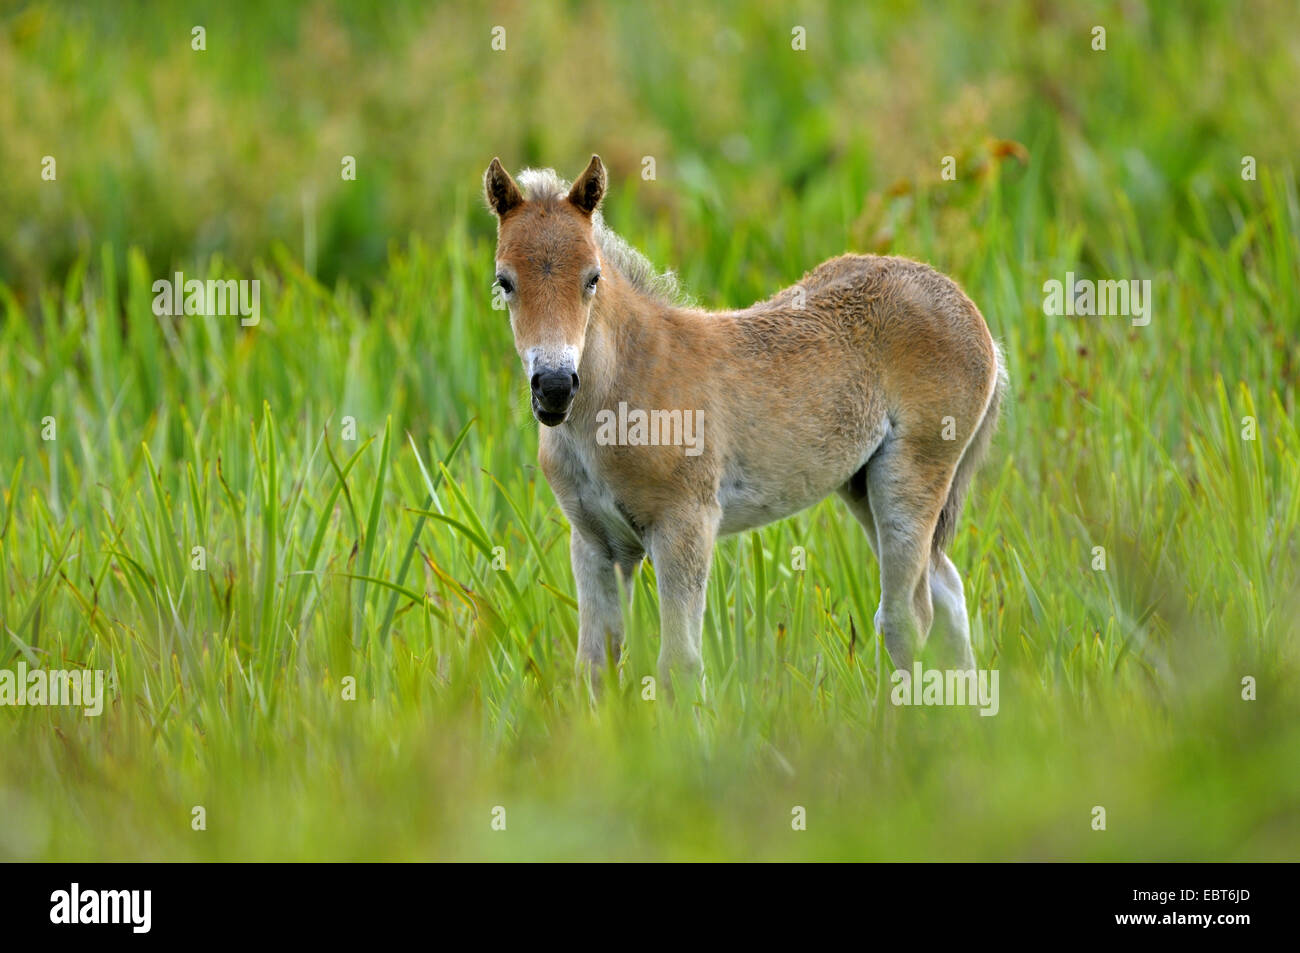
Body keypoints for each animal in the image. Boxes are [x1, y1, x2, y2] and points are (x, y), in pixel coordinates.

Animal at [486, 156, 1003, 691]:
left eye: (592, 278)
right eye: (504, 282)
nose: (554, 387)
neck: (623, 390)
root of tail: (968, 311)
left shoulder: (685, 526)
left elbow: (679, 665)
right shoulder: (593, 542)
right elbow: (595, 667)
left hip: (911, 475)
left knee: (906, 618)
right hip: (862, 484)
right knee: (947, 592)